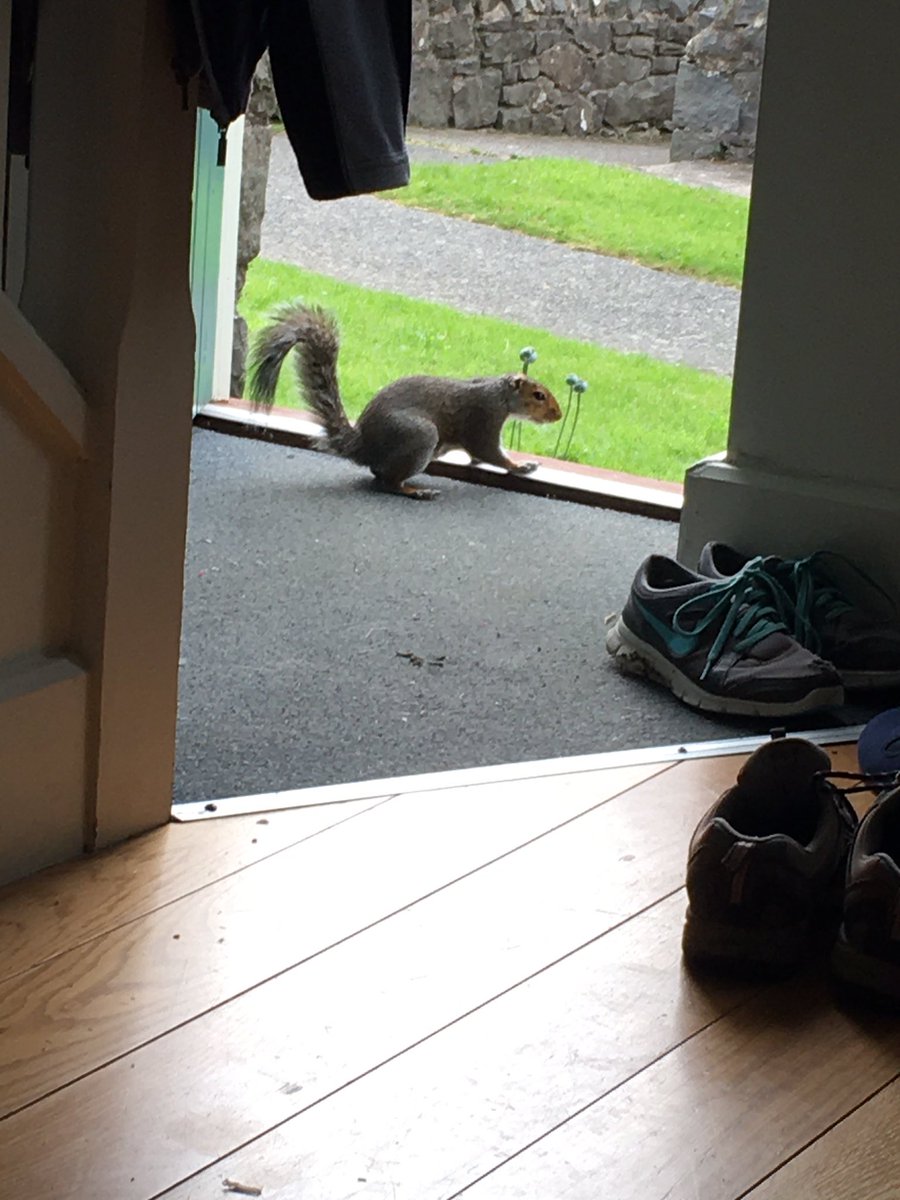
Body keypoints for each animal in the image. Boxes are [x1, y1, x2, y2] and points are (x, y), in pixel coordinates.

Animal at [247, 302, 563, 499]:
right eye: (539, 396)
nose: (558, 415)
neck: (499, 394)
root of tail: (364, 446)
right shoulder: (483, 417)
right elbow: (488, 451)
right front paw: (521, 466)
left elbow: (479, 456)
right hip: (420, 435)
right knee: (386, 482)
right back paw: (415, 491)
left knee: (379, 474)